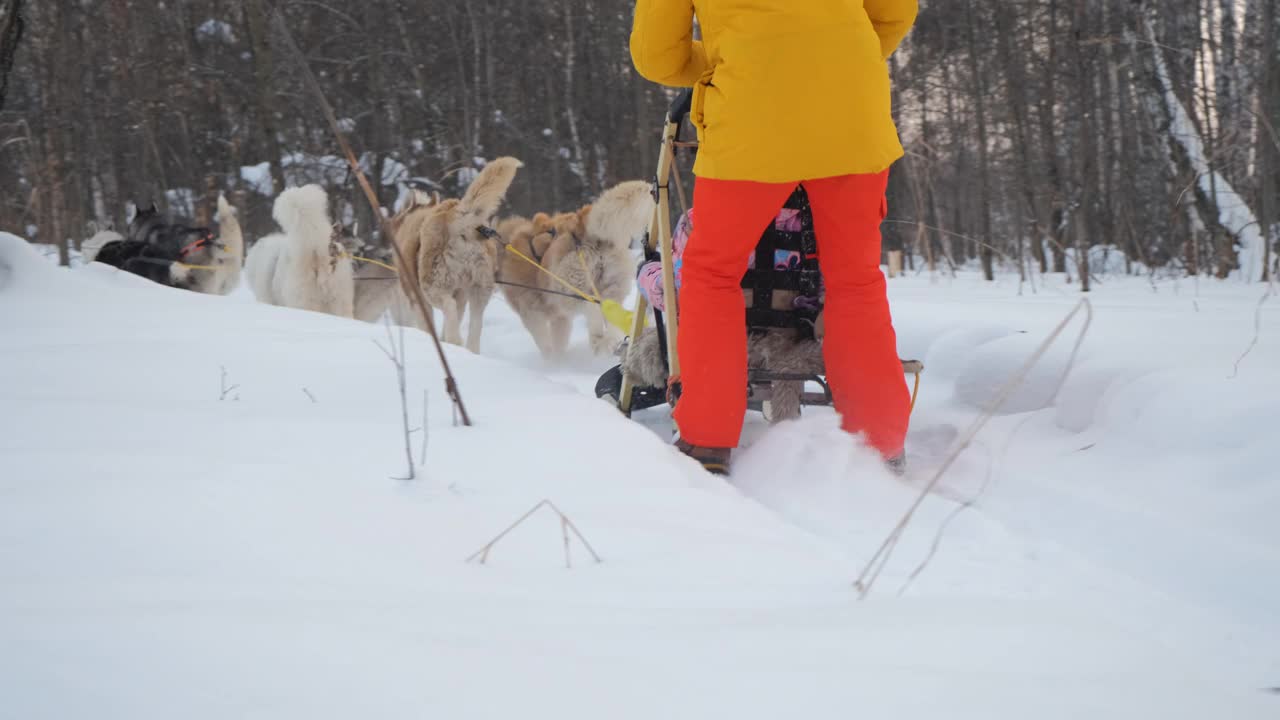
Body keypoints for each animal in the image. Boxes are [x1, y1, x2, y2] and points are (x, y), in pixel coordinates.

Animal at [391, 155, 527, 351]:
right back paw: (468, 349)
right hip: (479, 290)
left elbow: (428, 324)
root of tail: (459, 217)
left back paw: (454, 340)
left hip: (433, 288)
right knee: (475, 324)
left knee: (449, 306)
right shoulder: (461, 295)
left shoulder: (416, 297)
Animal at [499, 179, 655, 358]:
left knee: (590, 305)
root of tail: (582, 227)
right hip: (611, 284)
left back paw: (597, 340)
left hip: (567, 290)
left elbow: (544, 343)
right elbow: (559, 340)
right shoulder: (560, 318)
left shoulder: (532, 314)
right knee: (609, 309)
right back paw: (609, 340)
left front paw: (551, 360)